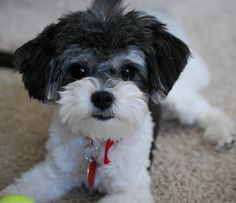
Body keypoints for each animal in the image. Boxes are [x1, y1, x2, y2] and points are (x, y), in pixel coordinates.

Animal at [0, 0, 234, 203]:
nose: (102, 97)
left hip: (176, 98)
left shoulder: (132, 190)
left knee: (202, 109)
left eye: (127, 71)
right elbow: (20, 188)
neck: (100, 140)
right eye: (78, 70)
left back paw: (223, 132)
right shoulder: (54, 172)